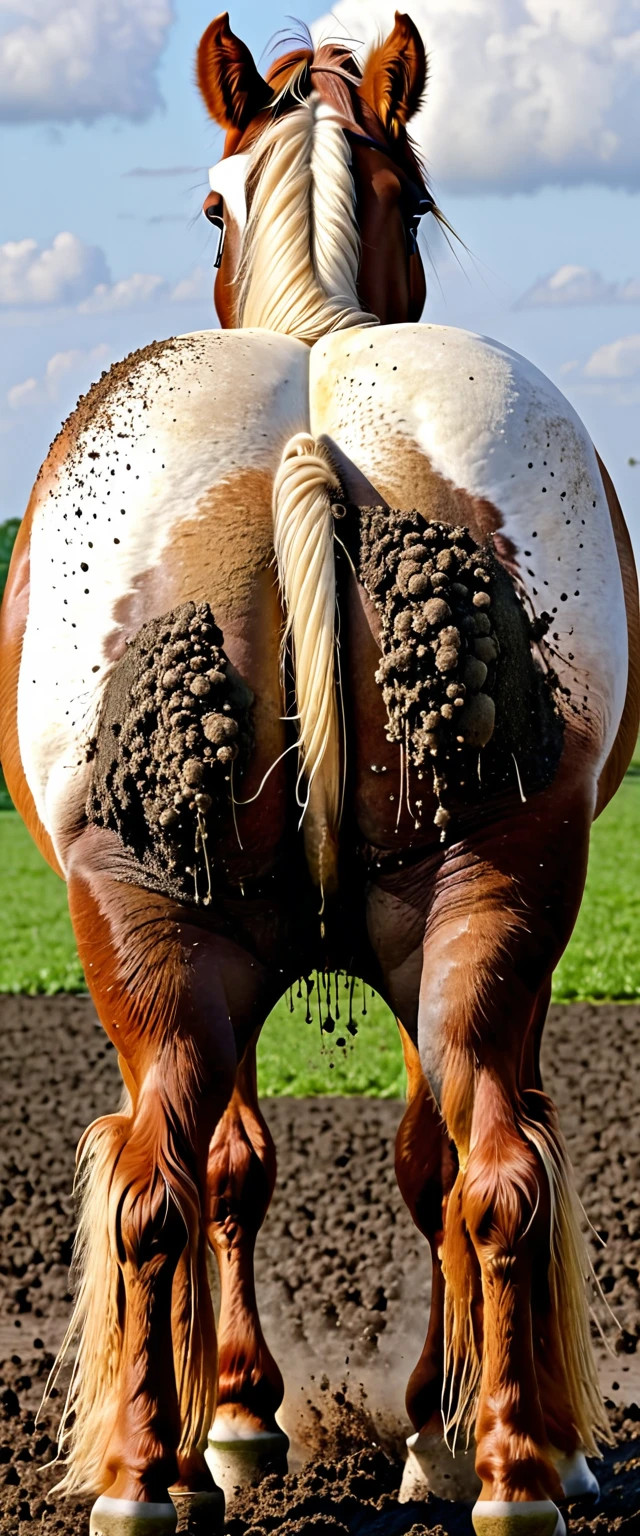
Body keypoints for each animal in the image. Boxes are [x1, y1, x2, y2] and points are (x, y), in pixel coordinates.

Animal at [0, 12, 635, 1536]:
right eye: (212, 210)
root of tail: (309, 430)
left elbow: (272, 1162)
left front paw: (235, 1424)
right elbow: (366, 1161)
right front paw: (259, 1426)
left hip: (168, 921)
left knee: (185, 1178)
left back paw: (169, 1477)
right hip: (477, 883)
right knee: (479, 1168)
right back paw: (496, 1469)